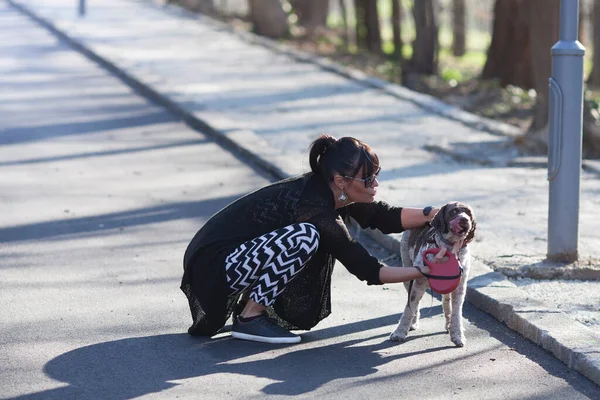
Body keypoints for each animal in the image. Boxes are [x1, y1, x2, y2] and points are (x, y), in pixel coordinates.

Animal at [390, 202, 478, 346]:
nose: (464, 220)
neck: (450, 250)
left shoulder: (459, 286)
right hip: (407, 273)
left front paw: (457, 335)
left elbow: (457, 311)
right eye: (453, 211)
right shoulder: (418, 283)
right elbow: (409, 307)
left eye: (469, 213)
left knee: (446, 302)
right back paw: (413, 323)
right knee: (414, 303)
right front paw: (399, 332)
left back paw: (448, 325)